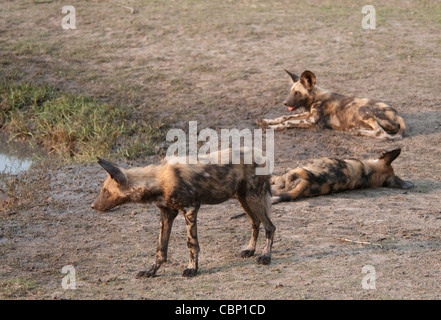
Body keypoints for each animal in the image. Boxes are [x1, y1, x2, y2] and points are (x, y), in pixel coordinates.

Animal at [90, 148, 276, 278]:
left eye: (106, 192)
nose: (92, 206)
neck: (158, 180)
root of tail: (263, 154)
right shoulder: (166, 215)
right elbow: (160, 249)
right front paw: (151, 271)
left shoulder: (190, 210)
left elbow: (191, 244)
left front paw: (191, 268)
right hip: (243, 199)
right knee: (256, 222)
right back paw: (250, 250)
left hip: (253, 198)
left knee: (270, 227)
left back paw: (266, 256)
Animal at [258, 70, 406, 140]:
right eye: (290, 92)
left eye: (297, 93)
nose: (285, 103)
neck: (316, 97)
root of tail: (397, 115)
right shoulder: (308, 114)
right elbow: (284, 117)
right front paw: (265, 121)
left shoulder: (314, 122)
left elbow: (287, 122)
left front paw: (272, 127)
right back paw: (356, 130)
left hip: (363, 110)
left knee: (381, 133)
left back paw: (357, 132)